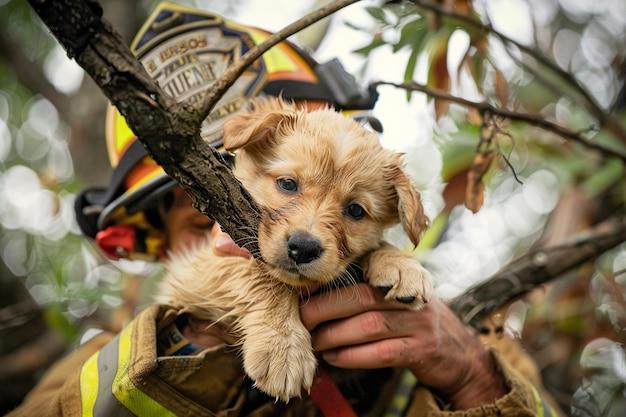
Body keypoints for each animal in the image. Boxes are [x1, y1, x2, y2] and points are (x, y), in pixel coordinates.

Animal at [161, 96, 432, 400]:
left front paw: (401, 264)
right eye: (288, 184)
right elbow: (259, 274)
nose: (303, 248)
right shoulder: (196, 269)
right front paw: (283, 347)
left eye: (355, 211)